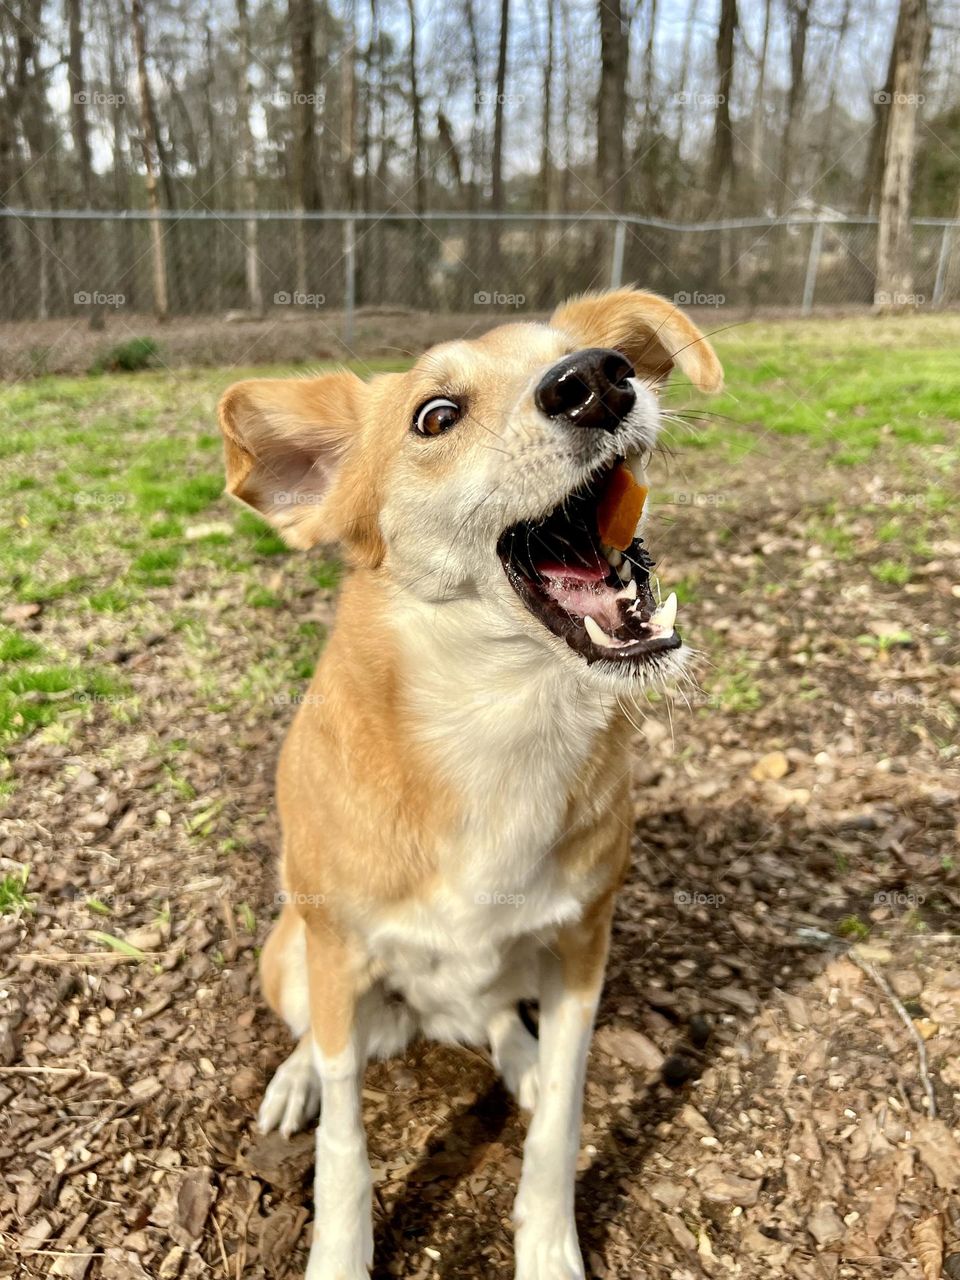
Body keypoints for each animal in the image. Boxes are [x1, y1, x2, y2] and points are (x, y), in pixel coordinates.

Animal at [217, 290, 721, 1280]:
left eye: (577, 354)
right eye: (436, 416)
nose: (598, 379)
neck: (497, 717)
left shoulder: (585, 946)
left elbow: (562, 1117)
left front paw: (550, 1247)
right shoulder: (337, 956)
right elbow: (344, 1147)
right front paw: (339, 1254)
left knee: (499, 1026)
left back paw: (516, 1057)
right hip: (292, 955)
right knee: (314, 1042)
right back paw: (297, 1078)